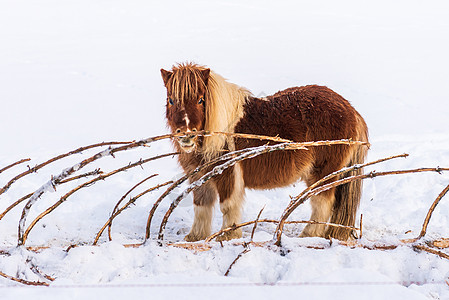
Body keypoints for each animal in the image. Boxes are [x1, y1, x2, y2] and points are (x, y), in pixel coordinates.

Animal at [161, 62, 368, 241]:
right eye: (171, 100)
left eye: (200, 100)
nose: (186, 135)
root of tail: (351, 110)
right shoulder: (199, 177)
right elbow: (201, 207)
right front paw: (195, 237)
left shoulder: (228, 173)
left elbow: (227, 206)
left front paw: (227, 235)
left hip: (322, 173)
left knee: (322, 202)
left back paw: (308, 234)